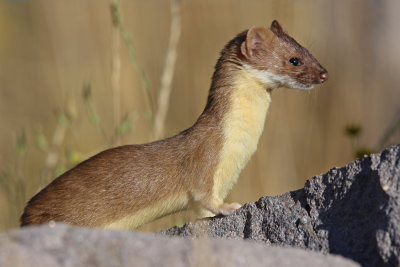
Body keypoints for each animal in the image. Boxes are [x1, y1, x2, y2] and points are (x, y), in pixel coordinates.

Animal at [20, 21, 328, 230]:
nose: (324, 73)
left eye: (307, 50)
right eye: (294, 60)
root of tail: (26, 214)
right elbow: (205, 195)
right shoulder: (206, 159)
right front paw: (230, 206)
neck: (239, 147)